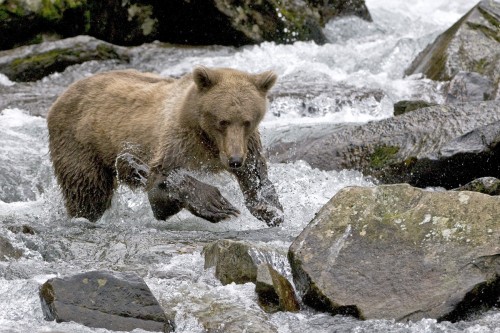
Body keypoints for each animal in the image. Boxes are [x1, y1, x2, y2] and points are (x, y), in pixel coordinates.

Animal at [47, 67, 286, 226]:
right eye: (223, 121)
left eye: (247, 121)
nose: (235, 160)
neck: (208, 140)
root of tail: (63, 94)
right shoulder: (178, 140)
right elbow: (160, 184)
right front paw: (219, 205)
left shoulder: (249, 145)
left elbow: (257, 178)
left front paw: (271, 208)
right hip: (80, 142)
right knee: (88, 192)